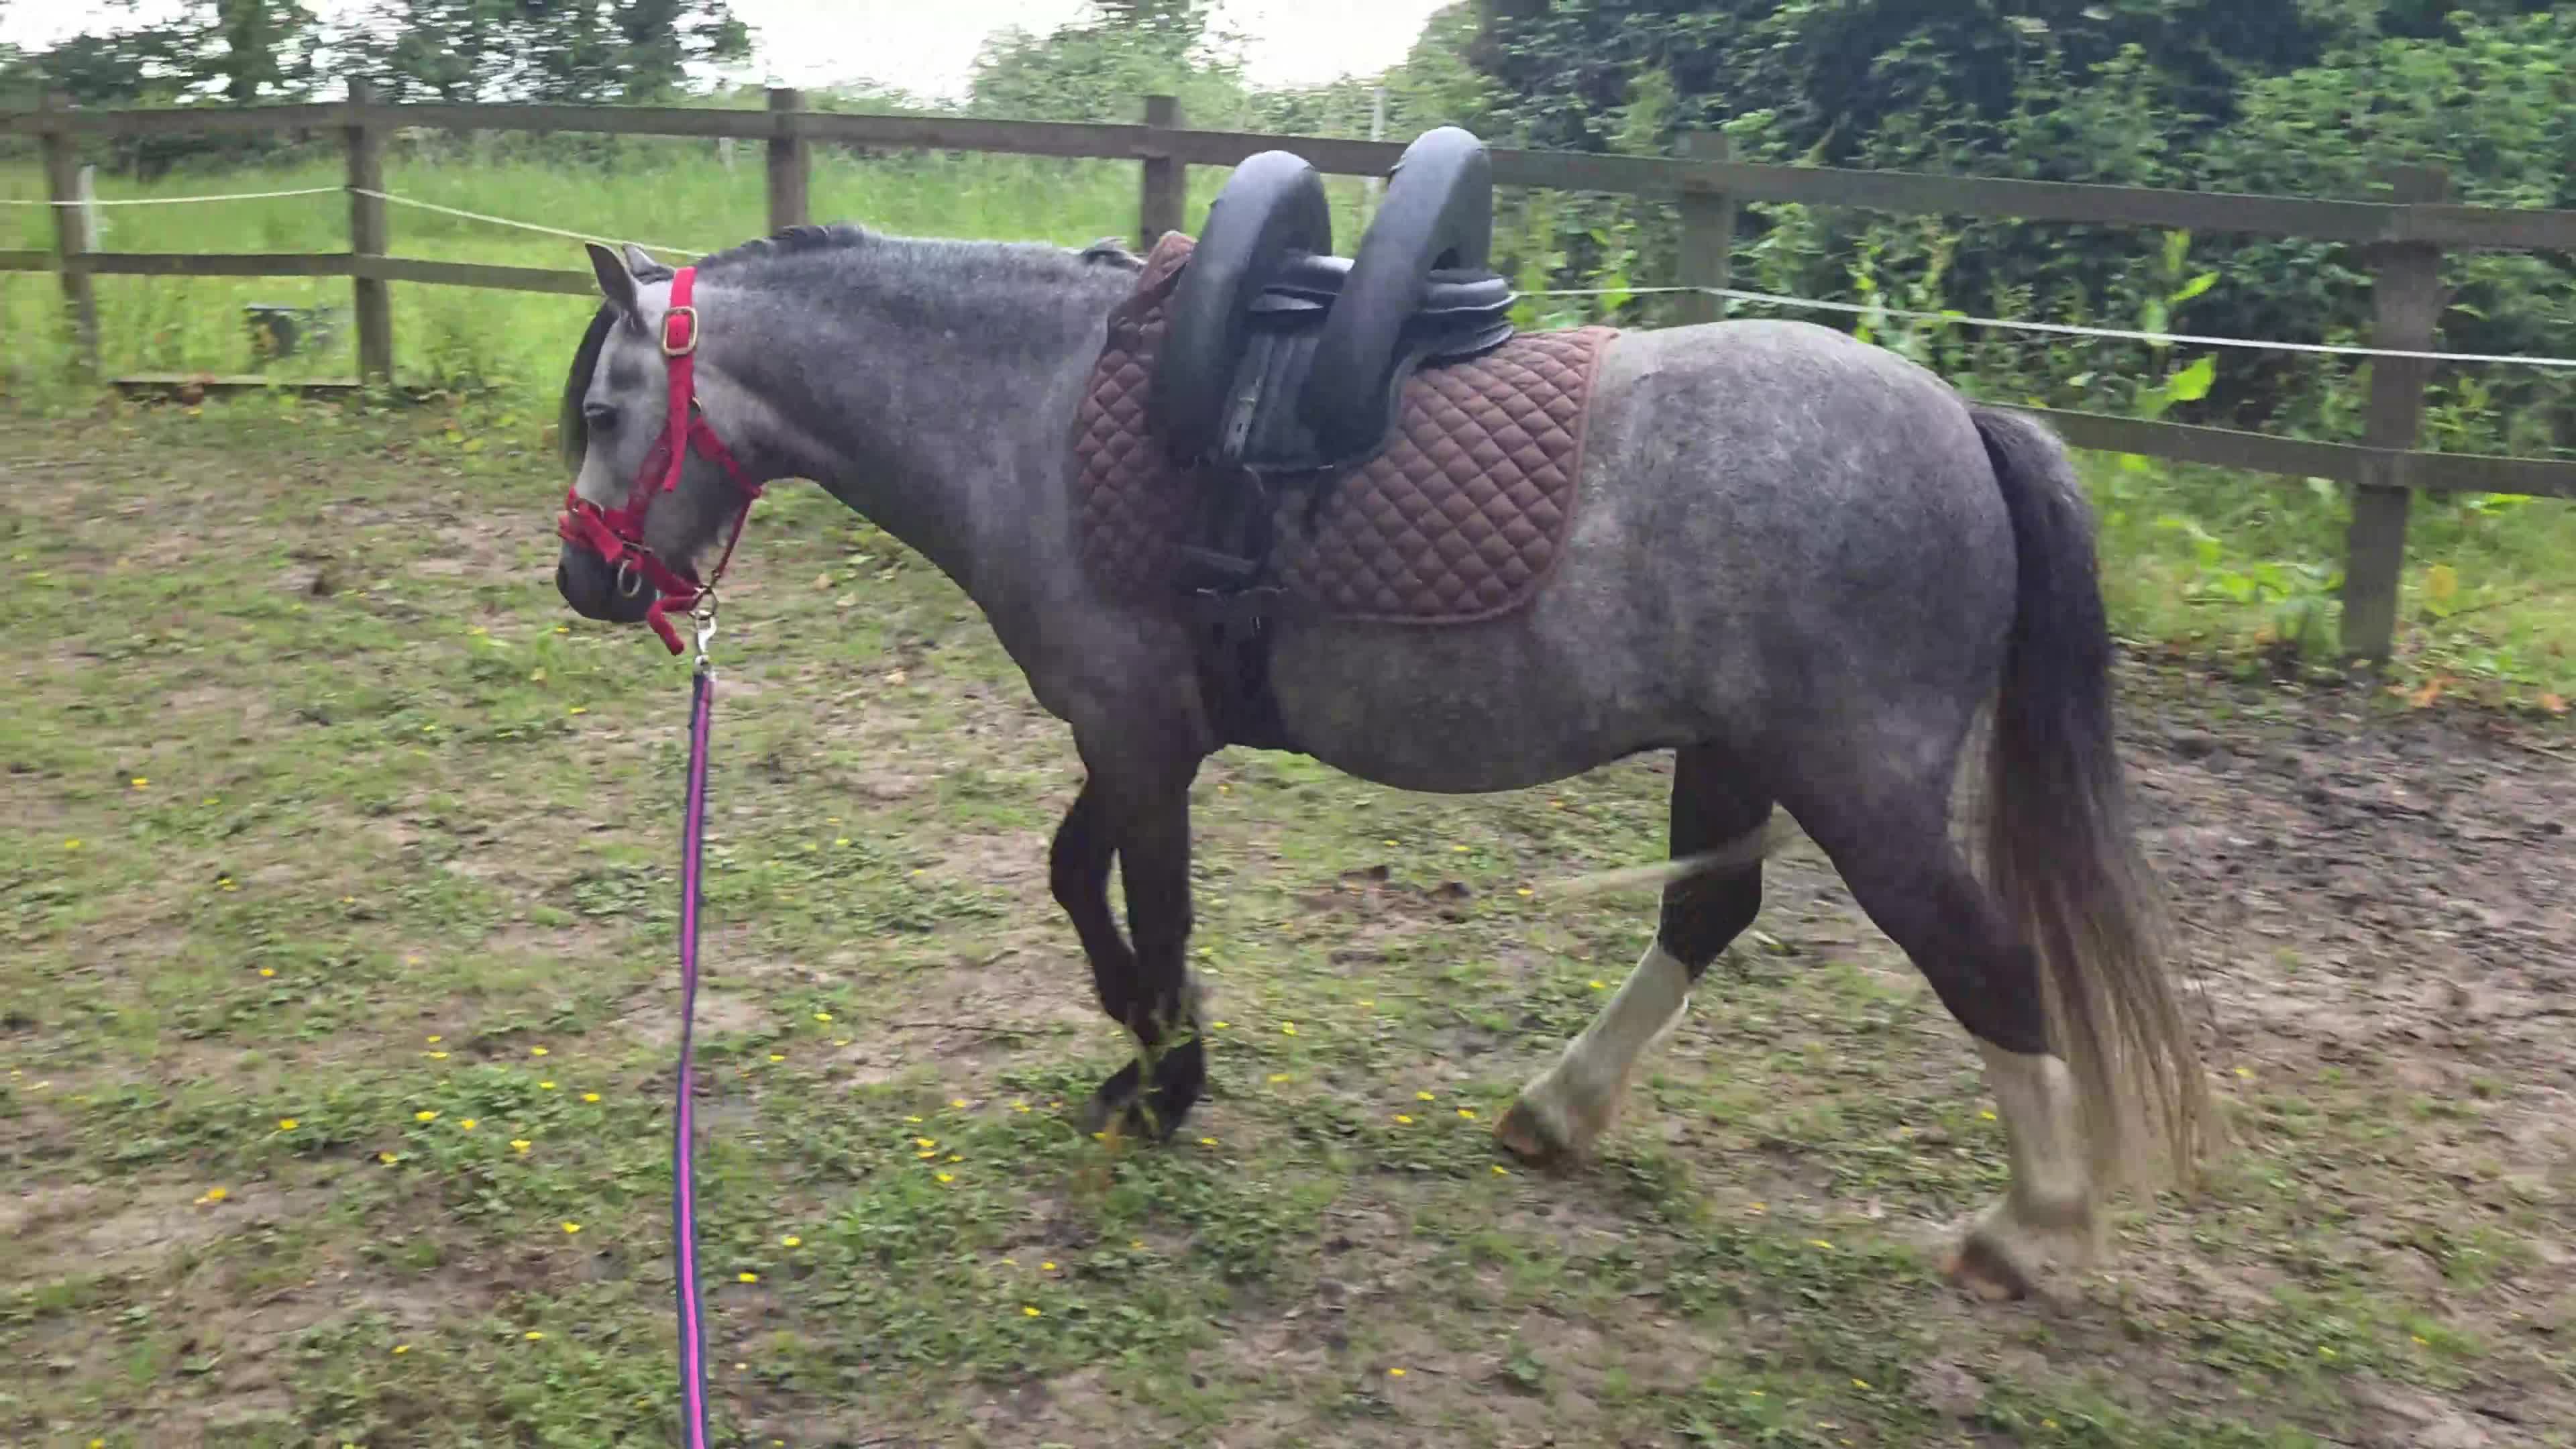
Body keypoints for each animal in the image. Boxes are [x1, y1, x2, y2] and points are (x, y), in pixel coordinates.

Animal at [548, 220, 2216, 1301]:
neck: (1033, 405)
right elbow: (1078, 878)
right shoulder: (1136, 729)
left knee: (1989, 968)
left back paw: (2032, 1231)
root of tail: (1967, 420)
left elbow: (1147, 899)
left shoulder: (1136, 733)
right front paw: (1142, 1047)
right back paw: (1560, 1108)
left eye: (606, 408)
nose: (584, 582)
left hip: (1863, 791)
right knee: (1705, 916)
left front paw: (1168, 1079)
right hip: (1740, 752)